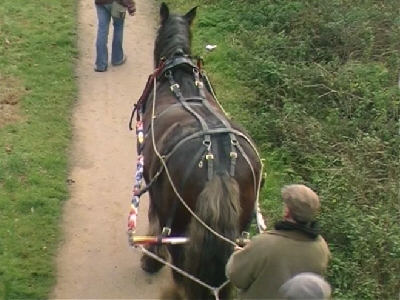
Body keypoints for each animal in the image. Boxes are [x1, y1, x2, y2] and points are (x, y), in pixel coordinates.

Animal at [138, 2, 262, 300]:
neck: (179, 74)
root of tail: (219, 168)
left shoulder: (153, 186)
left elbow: (154, 222)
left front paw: (151, 259)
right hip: (236, 235)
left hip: (179, 229)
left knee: (182, 273)